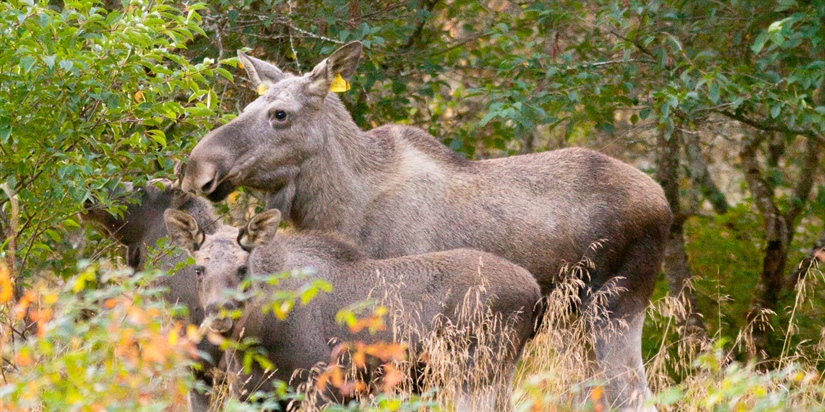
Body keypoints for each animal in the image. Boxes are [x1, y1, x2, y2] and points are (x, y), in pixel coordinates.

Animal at [164, 211, 544, 410]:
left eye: (243, 268)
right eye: (199, 268)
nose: (220, 314)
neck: (259, 336)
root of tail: (535, 291)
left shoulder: (325, 388)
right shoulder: (251, 393)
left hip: (475, 372)